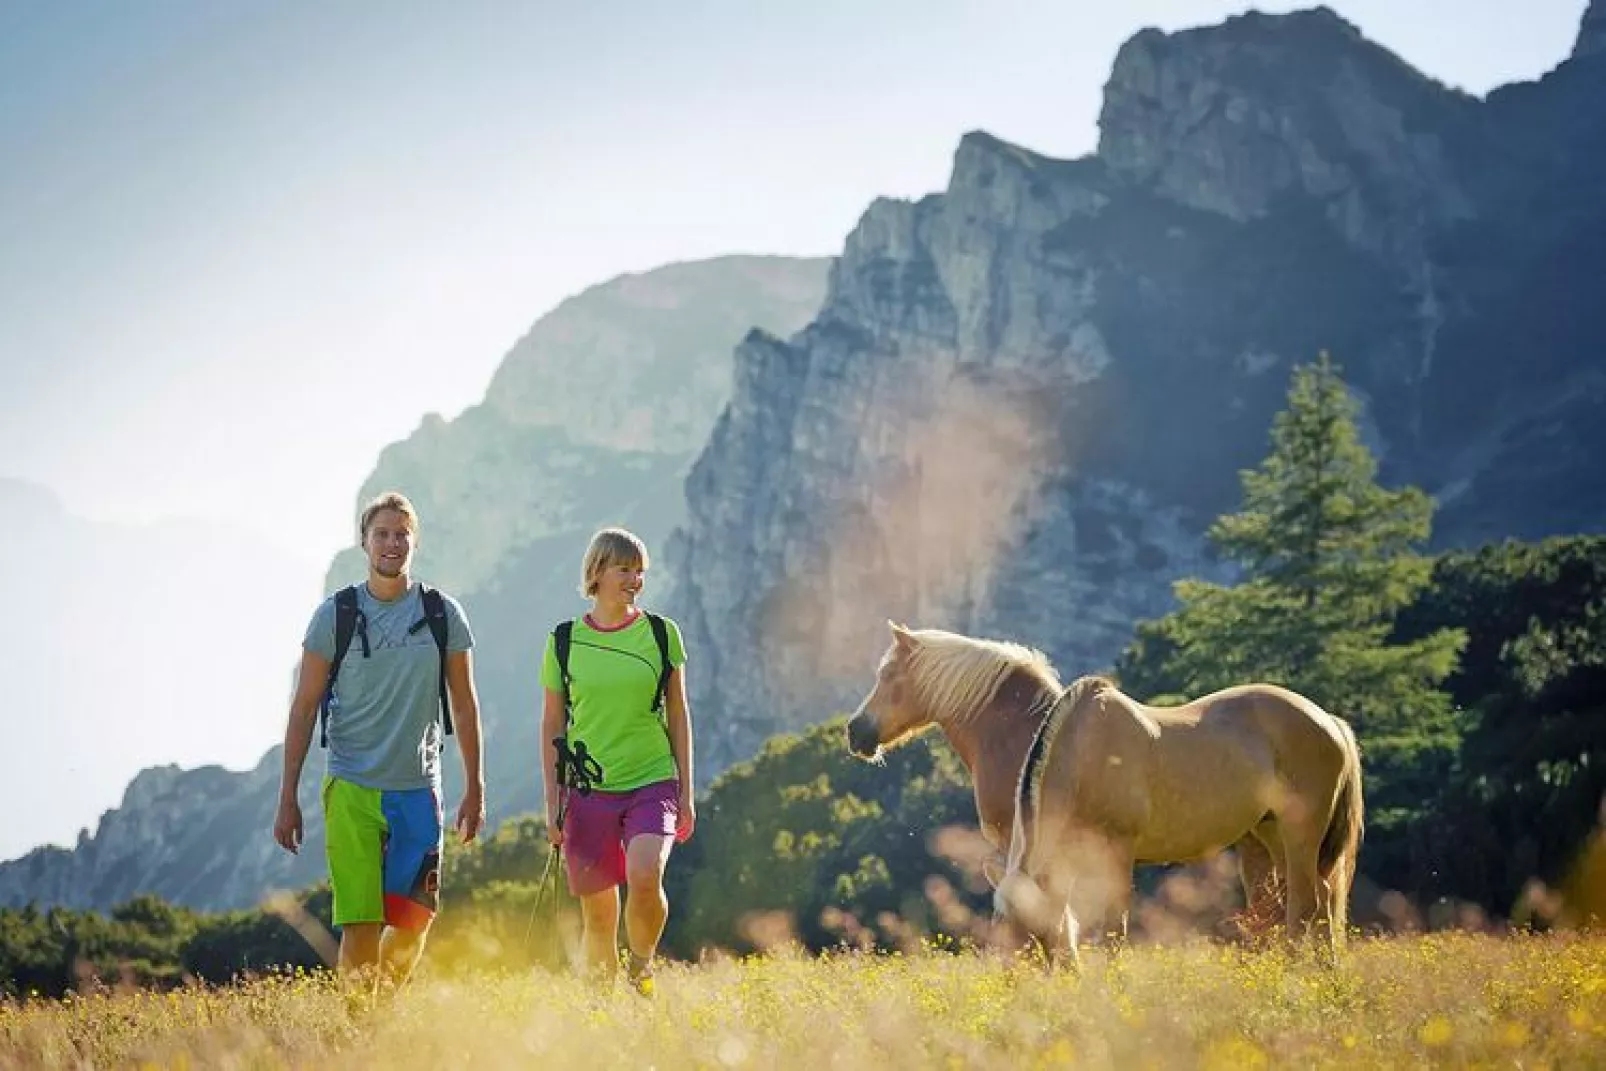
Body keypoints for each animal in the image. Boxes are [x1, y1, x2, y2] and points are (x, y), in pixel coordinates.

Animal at [995, 674, 1361, 969]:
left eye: (1035, 930)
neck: (1087, 755)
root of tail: (1327, 720)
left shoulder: (1118, 856)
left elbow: (1114, 930)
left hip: (1300, 833)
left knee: (1306, 903)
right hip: (1271, 831)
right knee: (1319, 899)